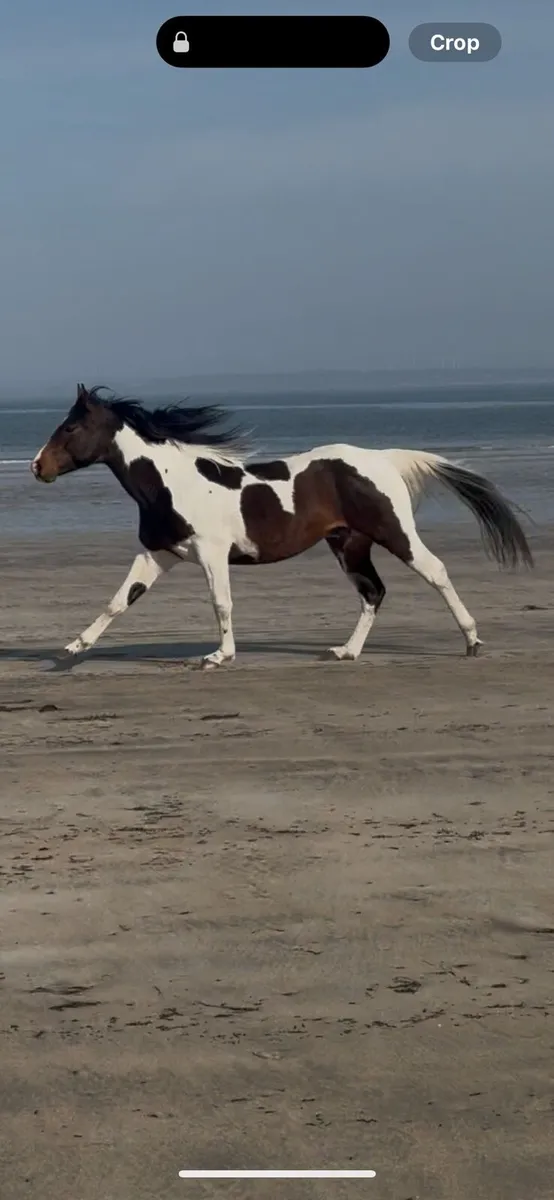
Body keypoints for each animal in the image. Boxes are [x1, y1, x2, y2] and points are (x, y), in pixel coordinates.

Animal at [31, 384, 533, 668]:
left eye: (71, 427)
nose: (38, 467)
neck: (171, 483)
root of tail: (383, 459)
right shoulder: (159, 554)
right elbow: (119, 601)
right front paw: (70, 650)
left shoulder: (211, 554)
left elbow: (221, 604)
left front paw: (217, 656)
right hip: (348, 544)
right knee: (373, 592)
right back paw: (345, 652)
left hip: (395, 533)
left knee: (436, 572)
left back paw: (472, 641)